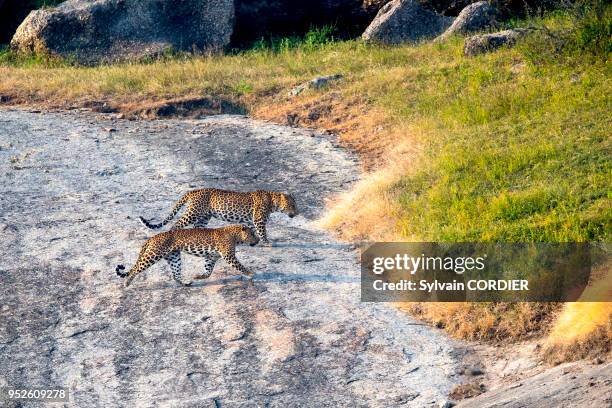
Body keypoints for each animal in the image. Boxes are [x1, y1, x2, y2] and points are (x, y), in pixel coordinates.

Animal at [116, 223, 258, 286]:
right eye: (252, 234)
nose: (257, 240)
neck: (236, 235)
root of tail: (152, 237)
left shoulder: (211, 257)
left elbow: (208, 271)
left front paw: (199, 276)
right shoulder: (229, 256)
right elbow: (240, 266)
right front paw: (250, 273)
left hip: (174, 257)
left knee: (175, 274)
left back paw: (186, 283)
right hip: (153, 254)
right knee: (136, 268)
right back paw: (127, 282)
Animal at [139, 189, 302, 245]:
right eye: (293, 205)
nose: (297, 213)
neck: (273, 201)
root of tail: (194, 191)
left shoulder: (250, 221)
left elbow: (251, 231)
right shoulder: (259, 220)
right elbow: (263, 232)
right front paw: (267, 242)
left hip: (204, 217)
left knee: (198, 227)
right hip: (193, 213)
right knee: (176, 224)